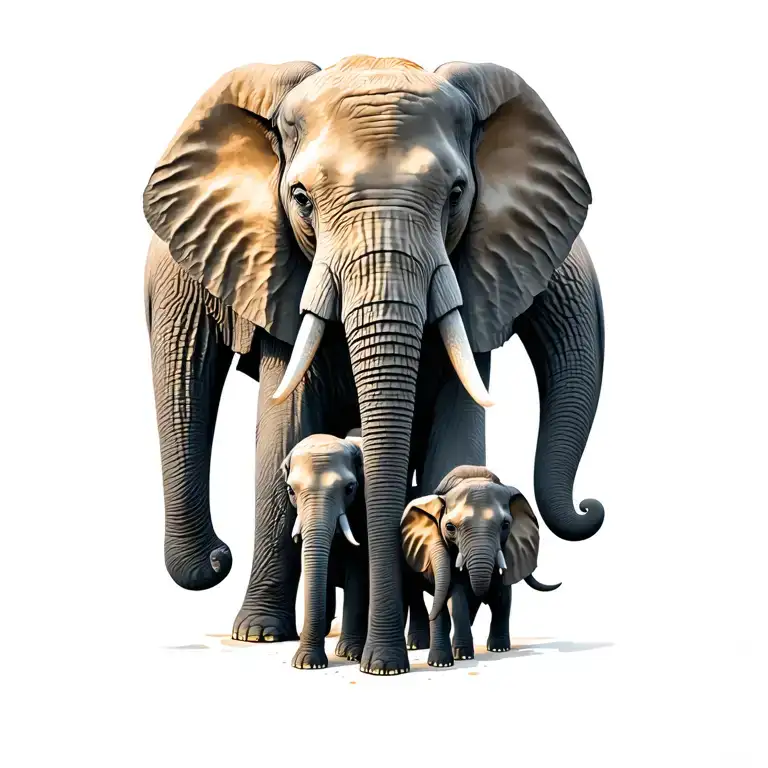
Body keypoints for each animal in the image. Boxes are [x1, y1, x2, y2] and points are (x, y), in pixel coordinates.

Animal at [281, 432, 368, 669]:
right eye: (291, 490)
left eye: (350, 488)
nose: (312, 663)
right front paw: (306, 663)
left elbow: (358, 569)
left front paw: (350, 654)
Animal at [401, 466, 559, 667]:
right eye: (450, 527)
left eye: (506, 525)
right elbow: (457, 598)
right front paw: (463, 656)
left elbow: (503, 597)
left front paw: (499, 649)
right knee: (414, 592)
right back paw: (418, 645)